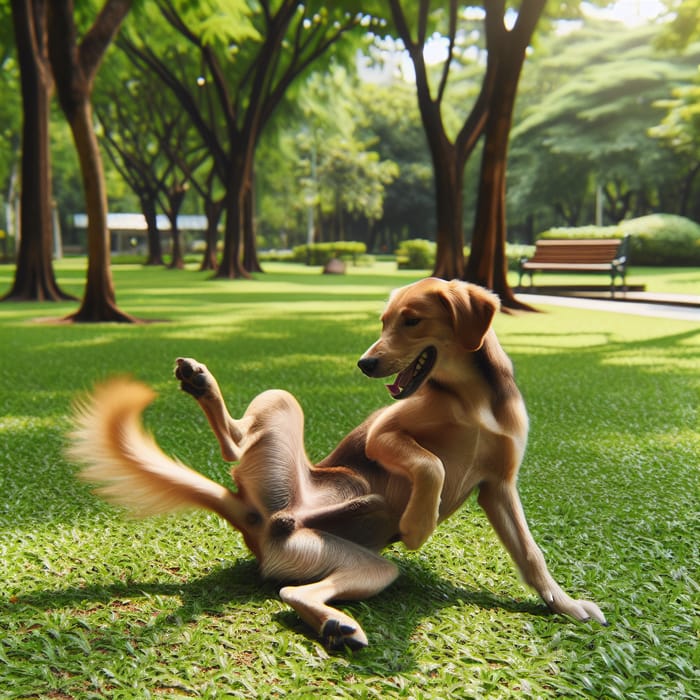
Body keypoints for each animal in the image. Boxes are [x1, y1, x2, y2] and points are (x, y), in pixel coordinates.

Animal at [72, 276, 608, 648]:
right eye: (383, 321)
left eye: (412, 320)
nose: (365, 364)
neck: (471, 397)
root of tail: (261, 520)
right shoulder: (380, 435)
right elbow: (430, 464)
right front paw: (419, 524)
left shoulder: (499, 486)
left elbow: (531, 556)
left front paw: (565, 605)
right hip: (282, 403)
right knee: (235, 447)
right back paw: (200, 382)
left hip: (353, 563)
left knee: (294, 592)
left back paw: (335, 625)